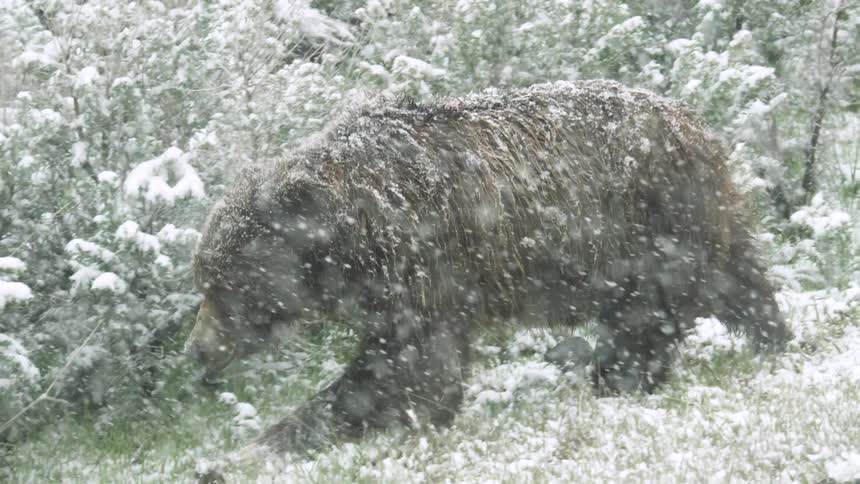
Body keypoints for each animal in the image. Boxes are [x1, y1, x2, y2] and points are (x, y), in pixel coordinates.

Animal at [185, 80, 789, 454]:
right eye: (204, 279)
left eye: (221, 284)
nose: (197, 349)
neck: (351, 235)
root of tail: (694, 122)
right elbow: (417, 367)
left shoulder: (422, 260)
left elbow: (403, 366)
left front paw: (258, 447)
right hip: (683, 220)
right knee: (738, 281)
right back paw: (772, 337)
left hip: (648, 221)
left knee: (655, 309)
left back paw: (617, 375)